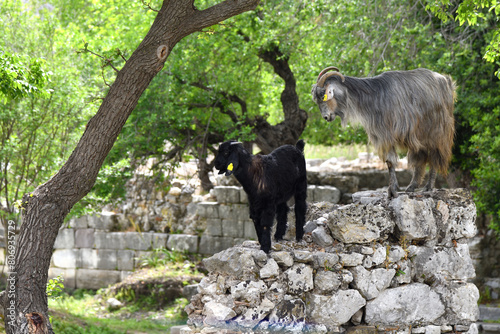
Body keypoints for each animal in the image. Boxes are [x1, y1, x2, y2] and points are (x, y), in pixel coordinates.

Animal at [310, 67, 456, 198]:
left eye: (323, 96)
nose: (326, 117)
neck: (374, 97)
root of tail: (446, 81)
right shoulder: (381, 136)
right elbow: (389, 162)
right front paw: (393, 190)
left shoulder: (387, 135)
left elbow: (390, 161)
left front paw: (392, 191)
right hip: (420, 136)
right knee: (420, 157)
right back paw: (412, 187)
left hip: (438, 131)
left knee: (435, 156)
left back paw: (428, 187)